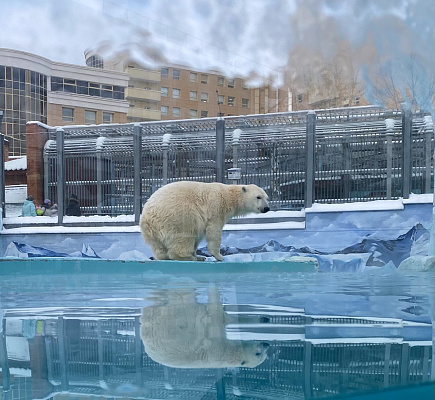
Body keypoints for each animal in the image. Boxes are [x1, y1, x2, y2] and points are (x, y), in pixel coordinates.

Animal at [141, 181, 270, 262]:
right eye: (258, 197)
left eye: (266, 197)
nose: (266, 208)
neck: (229, 196)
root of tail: (147, 218)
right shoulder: (216, 208)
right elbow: (214, 232)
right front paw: (219, 256)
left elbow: (199, 236)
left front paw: (198, 254)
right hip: (178, 216)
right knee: (184, 236)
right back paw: (188, 257)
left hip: (154, 232)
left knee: (159, 247)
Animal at [141, 288, 270, 368]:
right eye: (257, 354)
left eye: (264, 355)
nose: (266, 344)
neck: (227, 352)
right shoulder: (215, 342)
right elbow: (215, 309)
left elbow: (229, 319)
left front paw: (264, 318)